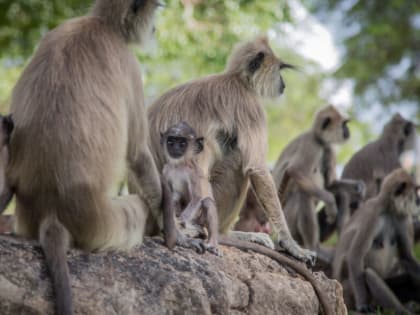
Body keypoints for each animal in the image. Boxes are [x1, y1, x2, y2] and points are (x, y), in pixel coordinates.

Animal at [7, 1, 164, 314]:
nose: (155, 27)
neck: (101, 24)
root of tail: (50, 211)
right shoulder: (128, 62)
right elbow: (138, 153)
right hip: (104, 223)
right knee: (137, 207)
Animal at [161, 122, 220, 256]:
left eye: (182, 143)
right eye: (171, 141)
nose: (175, 148)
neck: (178, 165)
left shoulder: (192, 173)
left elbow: (197, 198)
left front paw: (180, 221)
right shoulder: (166, 170)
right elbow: (169, 196)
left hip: (199, 219)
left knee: (207, 202)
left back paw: (212, 243)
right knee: (175, 197)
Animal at [334, 170, 420, 315]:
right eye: (415, 192)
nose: (418, 201)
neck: (389, 209)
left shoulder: (402, 217)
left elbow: (406, 257)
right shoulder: (372, 214)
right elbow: (355, 256)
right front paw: (362, 304)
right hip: (347, 290)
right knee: (369, 274)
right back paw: (402, 310)